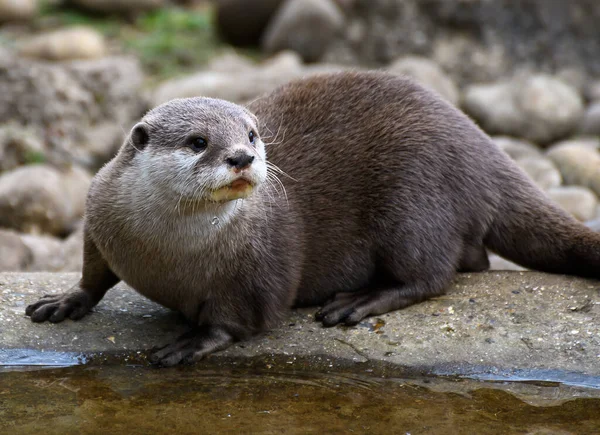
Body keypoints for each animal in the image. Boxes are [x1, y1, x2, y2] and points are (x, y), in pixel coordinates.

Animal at [25, 72, 600, 368]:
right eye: (198, 142)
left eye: (252, 133)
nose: (242, 157)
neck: (166, 251)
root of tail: (480, 144)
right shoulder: (100, 214)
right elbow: (93, 272)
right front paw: (65, 300)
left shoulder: (263, 264)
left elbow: (245, 316)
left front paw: (193, 340)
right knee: (472, 261)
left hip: (417, 199)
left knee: (433, 275)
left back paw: (359, 301)